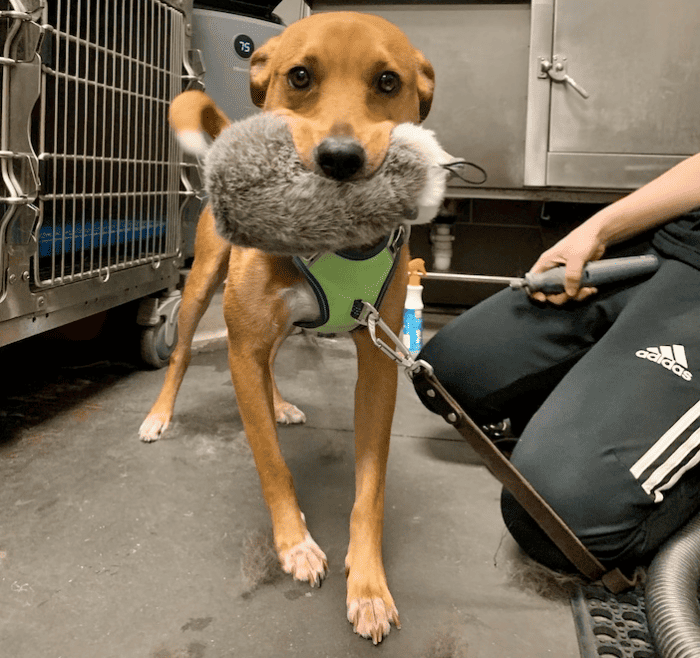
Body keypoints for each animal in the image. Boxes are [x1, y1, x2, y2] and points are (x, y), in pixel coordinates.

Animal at [138, 12, 432, 644]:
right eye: (299, 76)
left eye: (388, 82)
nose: (340, 157)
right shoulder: (242, 347)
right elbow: (273, 466)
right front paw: (294, 544)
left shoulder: (378, 363)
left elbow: (369, 492)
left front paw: (368, 585)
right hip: (202, 288)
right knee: (181, 354)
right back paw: (160, 415)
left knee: (272, 363)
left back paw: (277, 404)